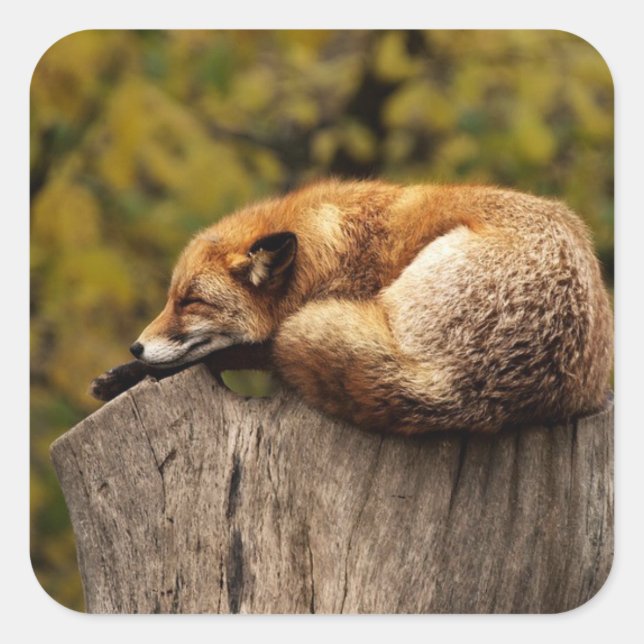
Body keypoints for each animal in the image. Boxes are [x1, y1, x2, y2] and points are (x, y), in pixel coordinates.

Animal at [91, 179, 613, 435]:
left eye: (191, 301)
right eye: (170, 298)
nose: (136, 347)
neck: (327, 252)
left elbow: (233, 352)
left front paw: (130, 373)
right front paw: (122, 373)